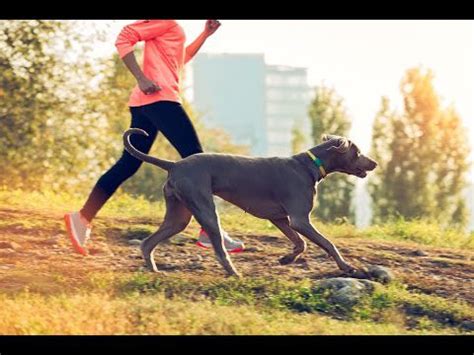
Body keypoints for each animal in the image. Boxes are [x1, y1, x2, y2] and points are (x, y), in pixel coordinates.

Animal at [123, 129, 378, 278]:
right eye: (358, 152)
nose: (374, 163)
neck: (309, 166)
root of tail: (174, 165)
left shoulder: (280, 218)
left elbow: (301, 244)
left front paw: (286, 259)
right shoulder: (299, 219)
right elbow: (328, 243)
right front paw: (347, 267)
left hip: (179, 215)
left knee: (147, 243)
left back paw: (153, 270)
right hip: (205, 209)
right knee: (220, 250)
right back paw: (235, 273)